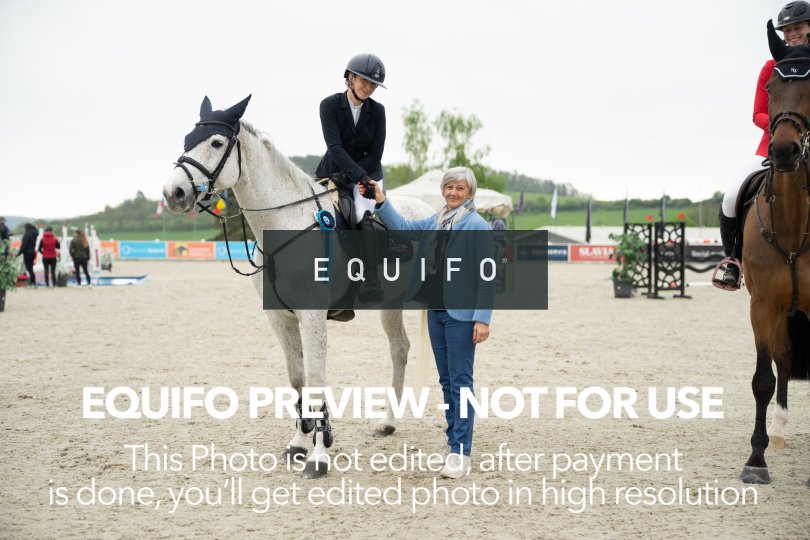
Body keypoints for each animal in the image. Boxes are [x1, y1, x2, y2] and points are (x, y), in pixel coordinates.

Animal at [162, 95, 435, 479]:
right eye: (187, 140)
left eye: (215, 143)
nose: (174, 193)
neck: (282, 224)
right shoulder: (281, 318)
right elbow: (298, 379)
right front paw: (299, 442)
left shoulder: (313, 315)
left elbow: (317, 378)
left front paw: (319, 456)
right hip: (390, 305)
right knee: (400, 349)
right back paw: (388, 423)